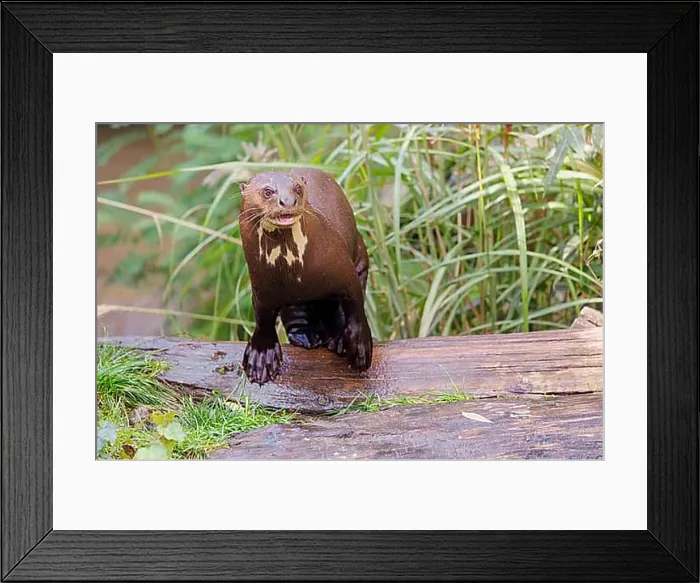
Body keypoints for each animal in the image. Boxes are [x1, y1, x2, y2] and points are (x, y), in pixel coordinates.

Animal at [238, 168, 372, 384]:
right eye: (268, 191)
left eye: (298, 188)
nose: (287, 201)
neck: (297, 271)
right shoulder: (261, 286)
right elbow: (262, 318)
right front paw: (261, 356)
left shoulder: (345, 270)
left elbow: (355, 305)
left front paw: (359, 346)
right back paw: (306, 336)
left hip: (360, 257)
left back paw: (337, 341)